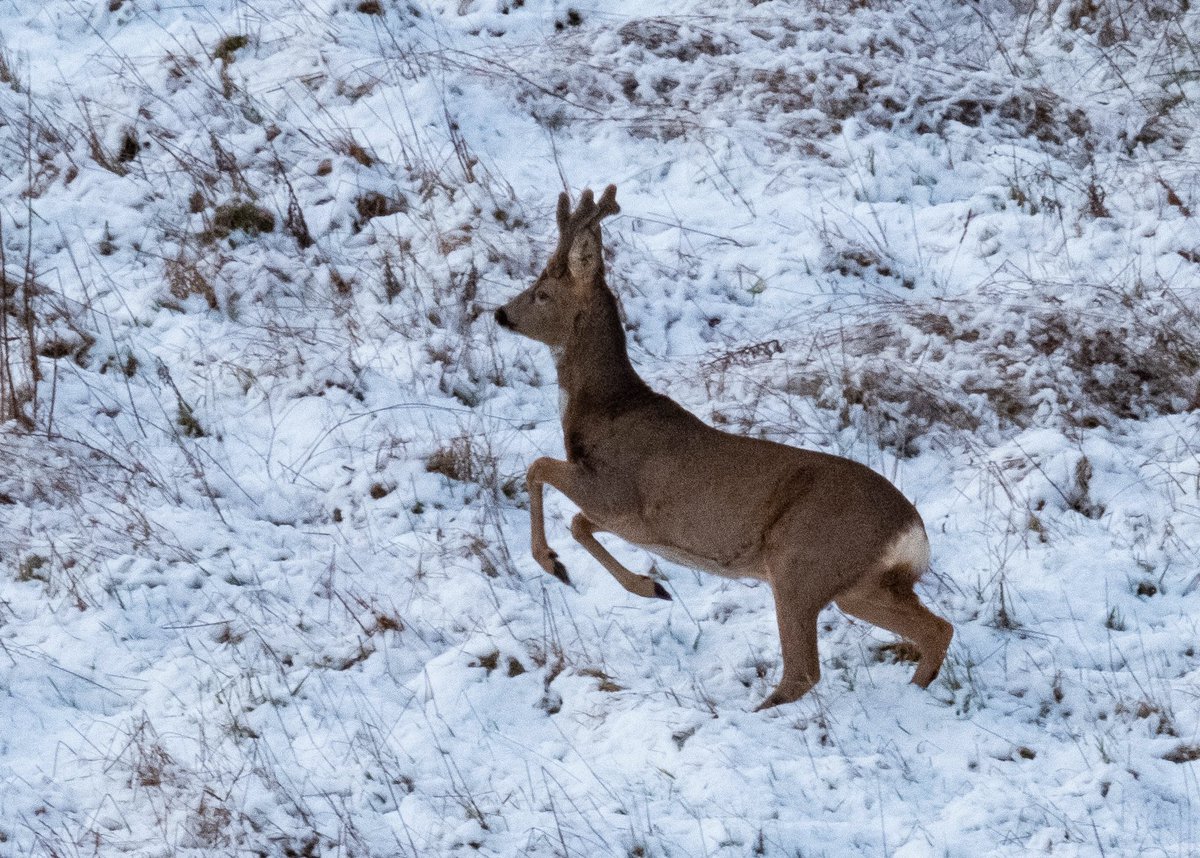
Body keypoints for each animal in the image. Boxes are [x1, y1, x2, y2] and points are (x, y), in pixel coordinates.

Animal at [494, 185, 952, 710]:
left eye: (542, 292)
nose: (501, 313)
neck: (607, 408)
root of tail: (912, 530)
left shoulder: (618, 492)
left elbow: (539, 469)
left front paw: (554, 565)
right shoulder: (623, 517)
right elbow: (576, 522)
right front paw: (648, 586)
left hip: (800, 564)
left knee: (804, 670)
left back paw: (759, 713)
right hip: (859, 585)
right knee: (937, 629)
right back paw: (915, 694)